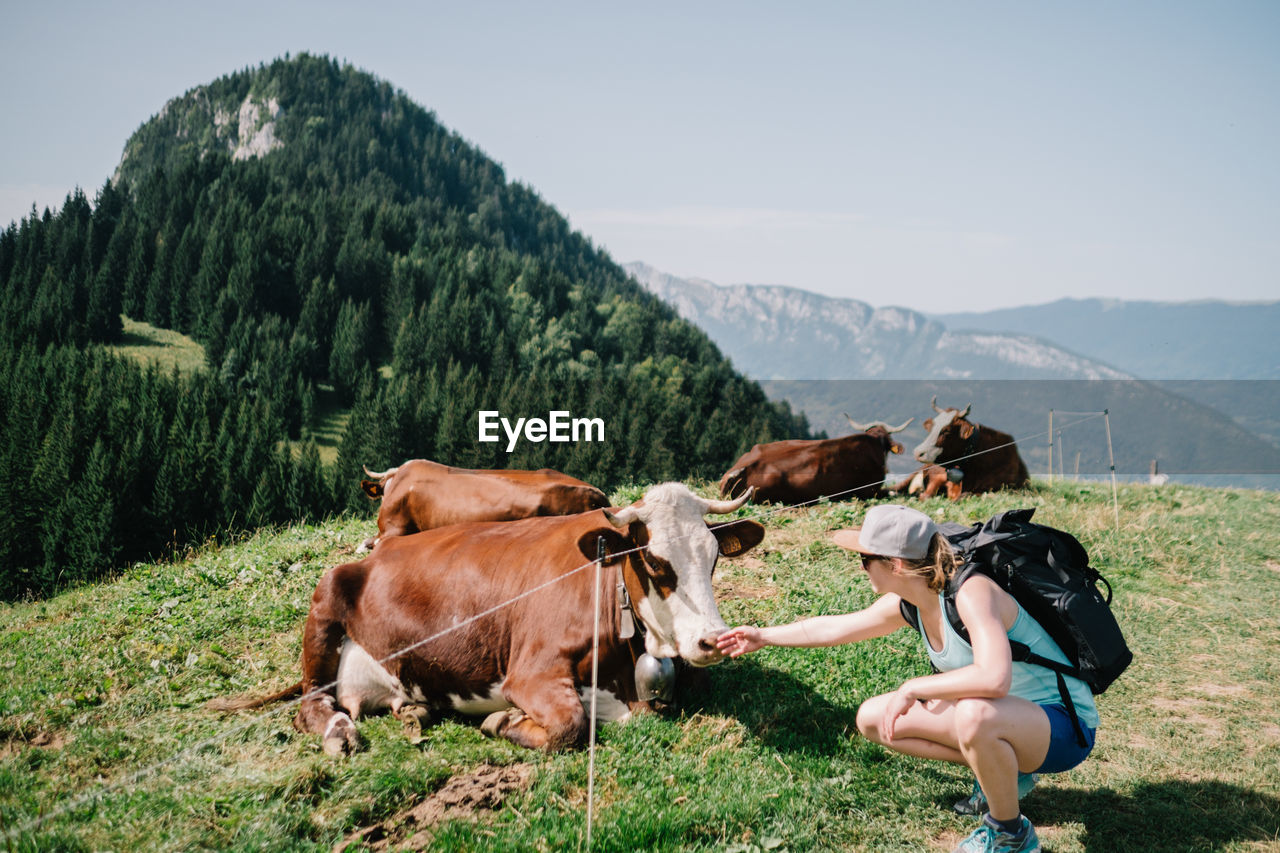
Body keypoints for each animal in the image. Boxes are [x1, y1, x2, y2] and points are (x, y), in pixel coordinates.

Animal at [215, 481, 762, 753]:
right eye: (653, 560)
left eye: (714, 555)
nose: (713, 640)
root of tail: (378, 552)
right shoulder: (532, 668)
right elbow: (568, 725)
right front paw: (503, 721)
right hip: (326, 599)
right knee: (310, 704)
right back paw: (338, 732)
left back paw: (414, 712)